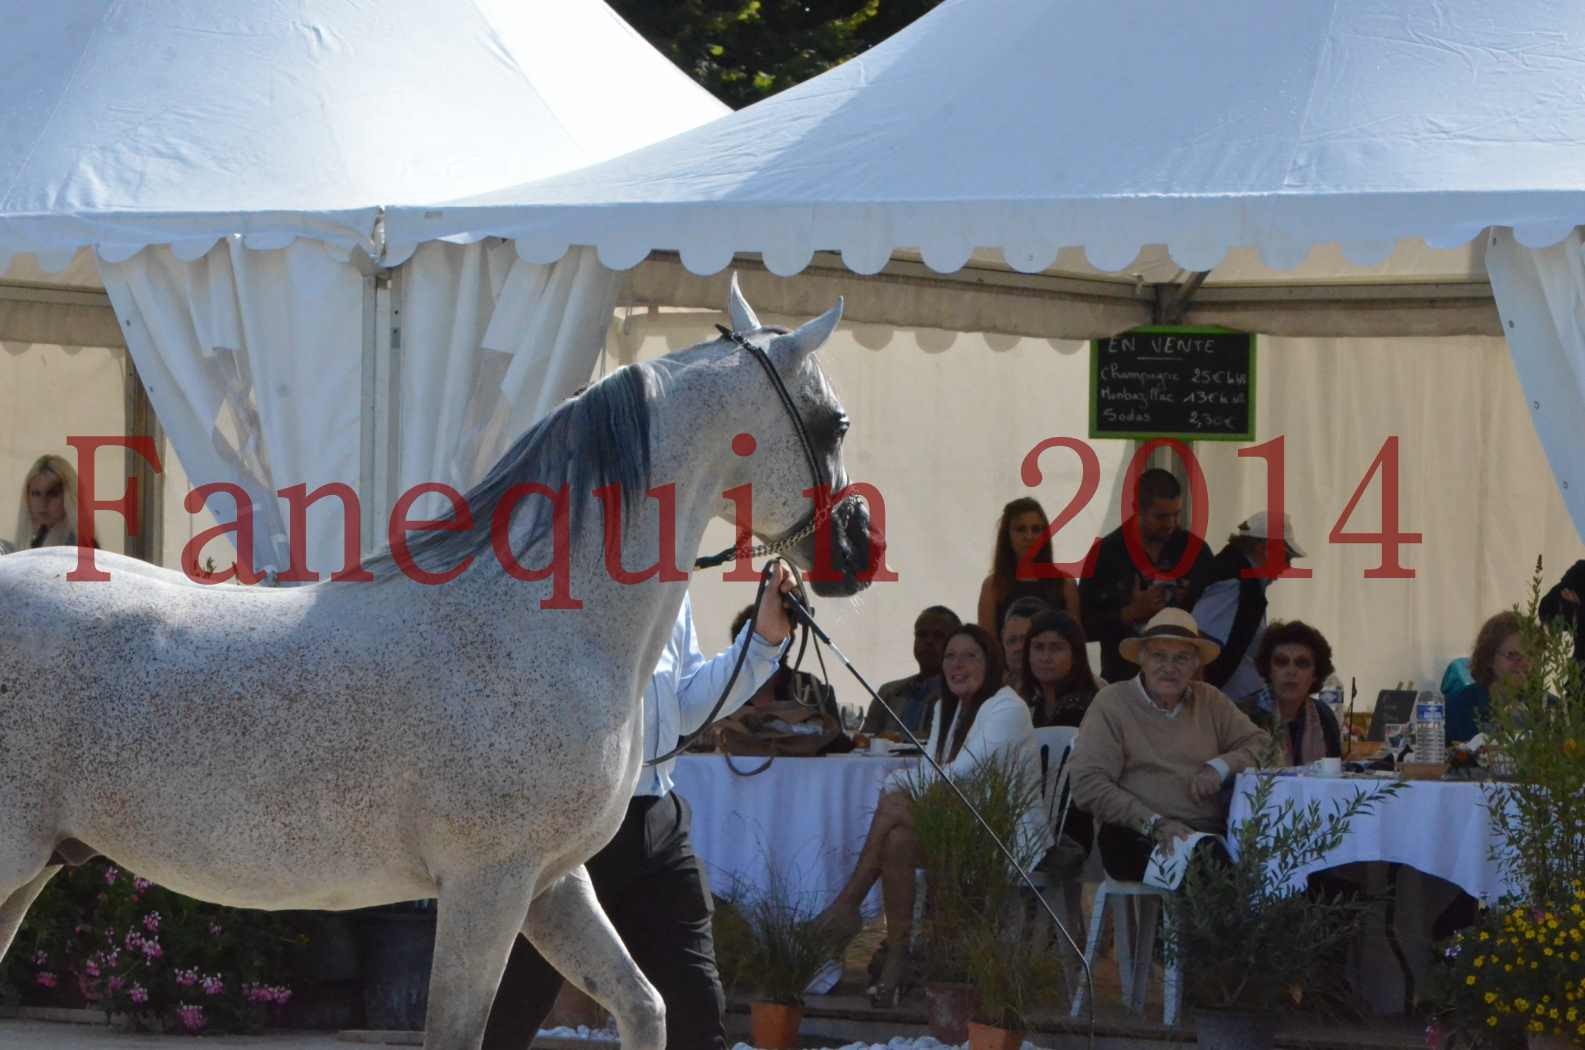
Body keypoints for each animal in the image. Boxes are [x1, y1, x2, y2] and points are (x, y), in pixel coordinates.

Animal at [0, 282, 881, 1050]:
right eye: (835, 422)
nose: (856, 554)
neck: (532, 626)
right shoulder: (486, 887)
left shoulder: (551, 884)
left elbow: (645, 1005)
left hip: (31, 870)